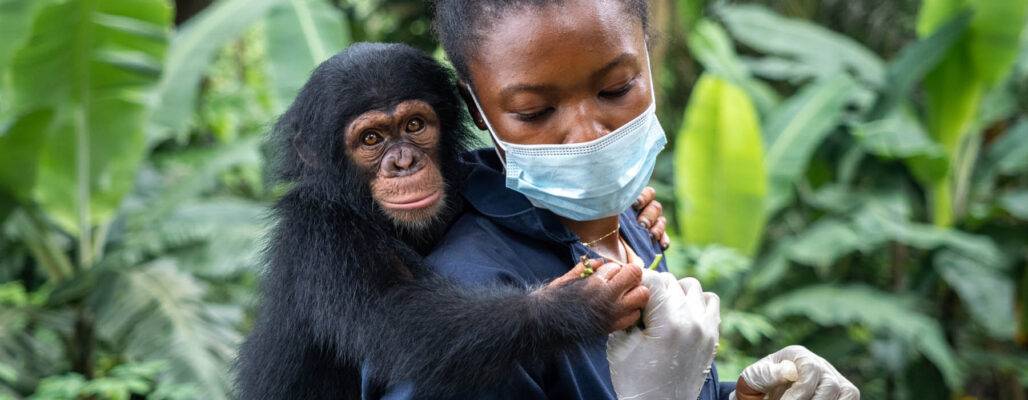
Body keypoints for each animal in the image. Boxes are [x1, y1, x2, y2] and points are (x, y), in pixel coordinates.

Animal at [233, 42, 666, 396]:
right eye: (371, 139)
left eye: (414, 125)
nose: (403, 162)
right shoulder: (320, 237)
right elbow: (400, 318)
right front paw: (576, 303)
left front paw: (649, 210)